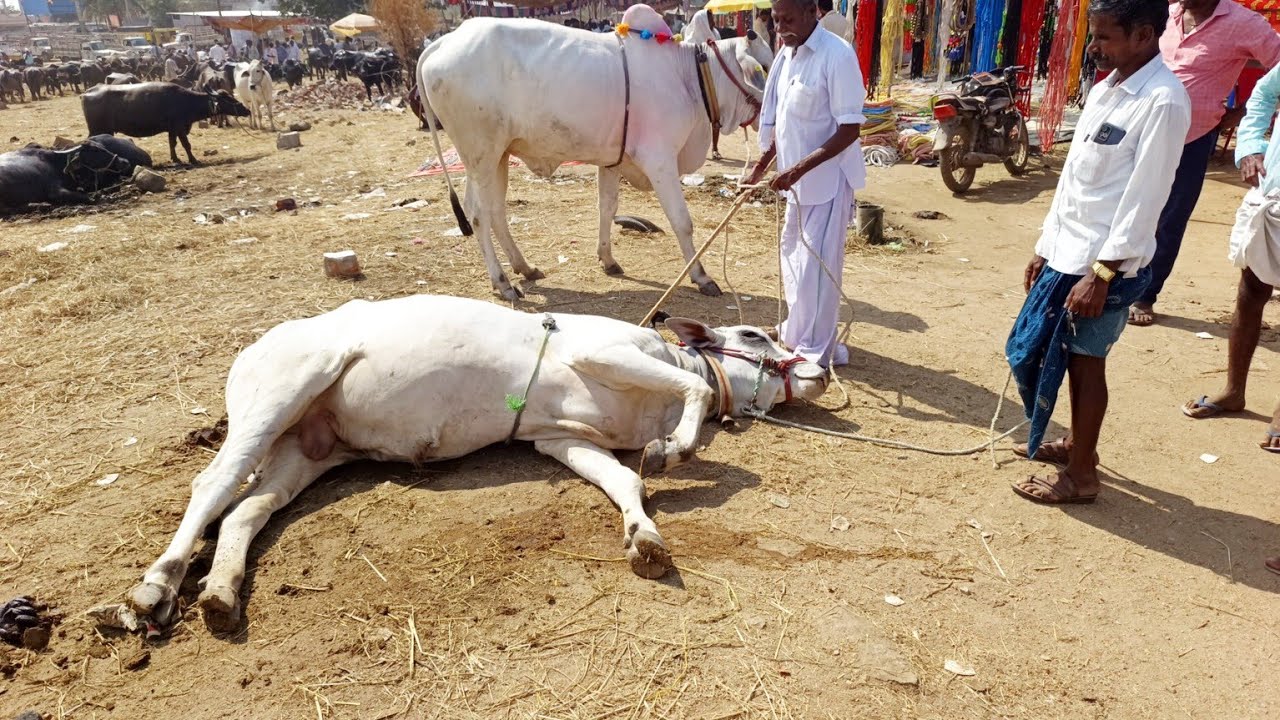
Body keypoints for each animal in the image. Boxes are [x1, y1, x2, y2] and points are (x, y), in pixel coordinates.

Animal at [82, 83, 250, 165]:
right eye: (227, 99)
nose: (247, 110)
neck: (187, 101)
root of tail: (85, 93)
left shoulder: (172, 129)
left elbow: (172, 143)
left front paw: (175, 158)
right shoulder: (180, 127)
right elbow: (186, 144)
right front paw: (193, 159)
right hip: (98, 129)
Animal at [117, 294, 829, 630]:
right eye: (757, 334)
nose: (819, 368)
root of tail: (257, 344)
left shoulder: (560, 439)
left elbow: (625, 478)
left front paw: (644, 538)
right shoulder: (604, 352)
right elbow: (697, 393)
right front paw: (675, 450)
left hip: (308, 452)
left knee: (245, 513)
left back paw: (218, 593)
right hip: (280, 391)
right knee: (212, 484)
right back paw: (156, 586)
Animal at [417, 8, 765, 301]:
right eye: (764, 69)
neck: (688, 77)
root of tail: (444, 42)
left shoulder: (612, 160)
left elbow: (607, 209)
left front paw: (608, 259)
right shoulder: (660, 160)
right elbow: (682, 221)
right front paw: (701, 276)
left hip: (496, 156)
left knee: (496, 213)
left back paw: (524, 268)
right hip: (480, 154)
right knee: (478, 214)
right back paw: (502, 282)